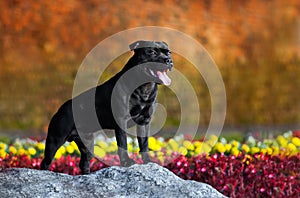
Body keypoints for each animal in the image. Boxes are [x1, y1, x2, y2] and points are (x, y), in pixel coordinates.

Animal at [40, 40, 172, 173]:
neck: (144, 87)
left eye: (168, 52)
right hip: (55, 139)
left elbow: (144, 143)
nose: (168, 60)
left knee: (84, 162)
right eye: (152, 52)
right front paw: (126, 162)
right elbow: (123, 144)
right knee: (46, 162)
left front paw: (147, 161)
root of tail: (60, 109)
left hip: (87, 143)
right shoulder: (121, 121)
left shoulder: (144, 121)